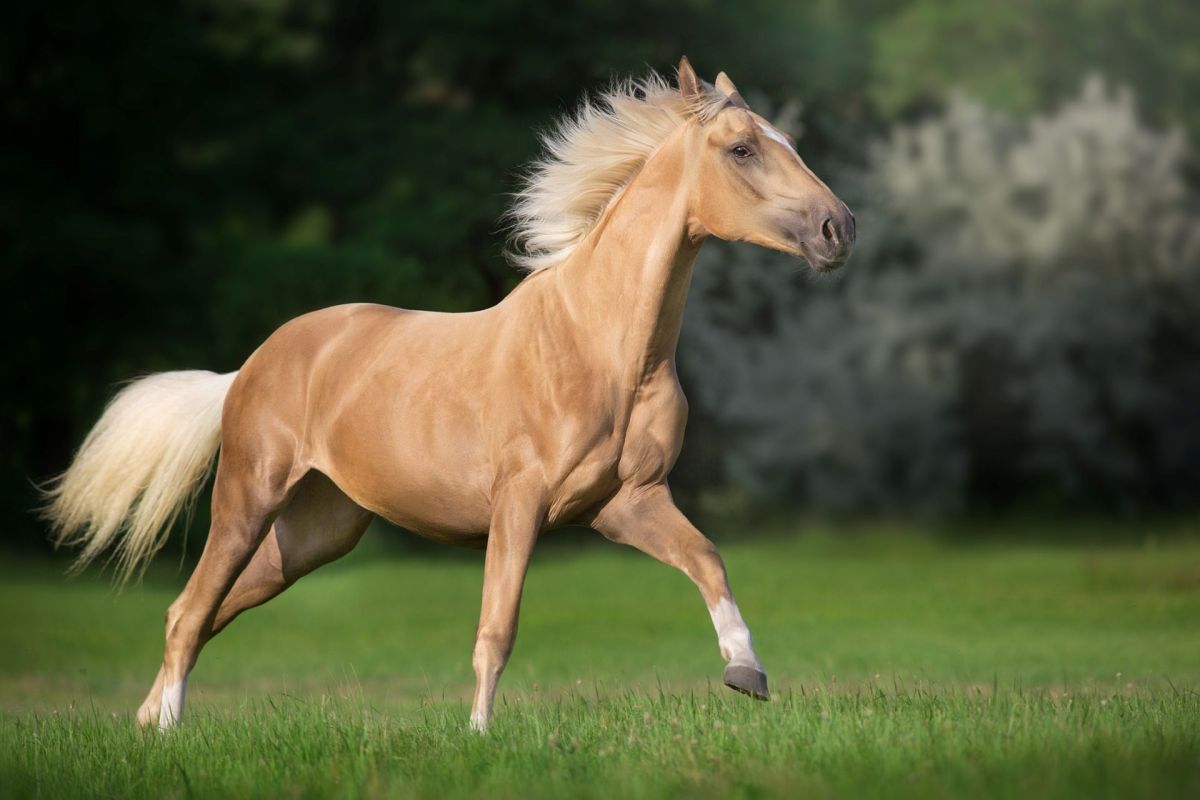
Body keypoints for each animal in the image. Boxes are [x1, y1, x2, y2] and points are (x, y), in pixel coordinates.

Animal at [45, 57, 854, 732]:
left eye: (784, 139)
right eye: (742, 149)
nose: (837, 228)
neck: (601, 348)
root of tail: (246, 369)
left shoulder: (628, 504)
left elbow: (708, 559)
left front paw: (746, 672)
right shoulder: (520, 502)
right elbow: (498, 626)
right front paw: (479, 735)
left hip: (314, 535)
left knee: (207, 611)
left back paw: (147, 720)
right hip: (248, 500)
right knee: (189, 611)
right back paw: (167, 728)